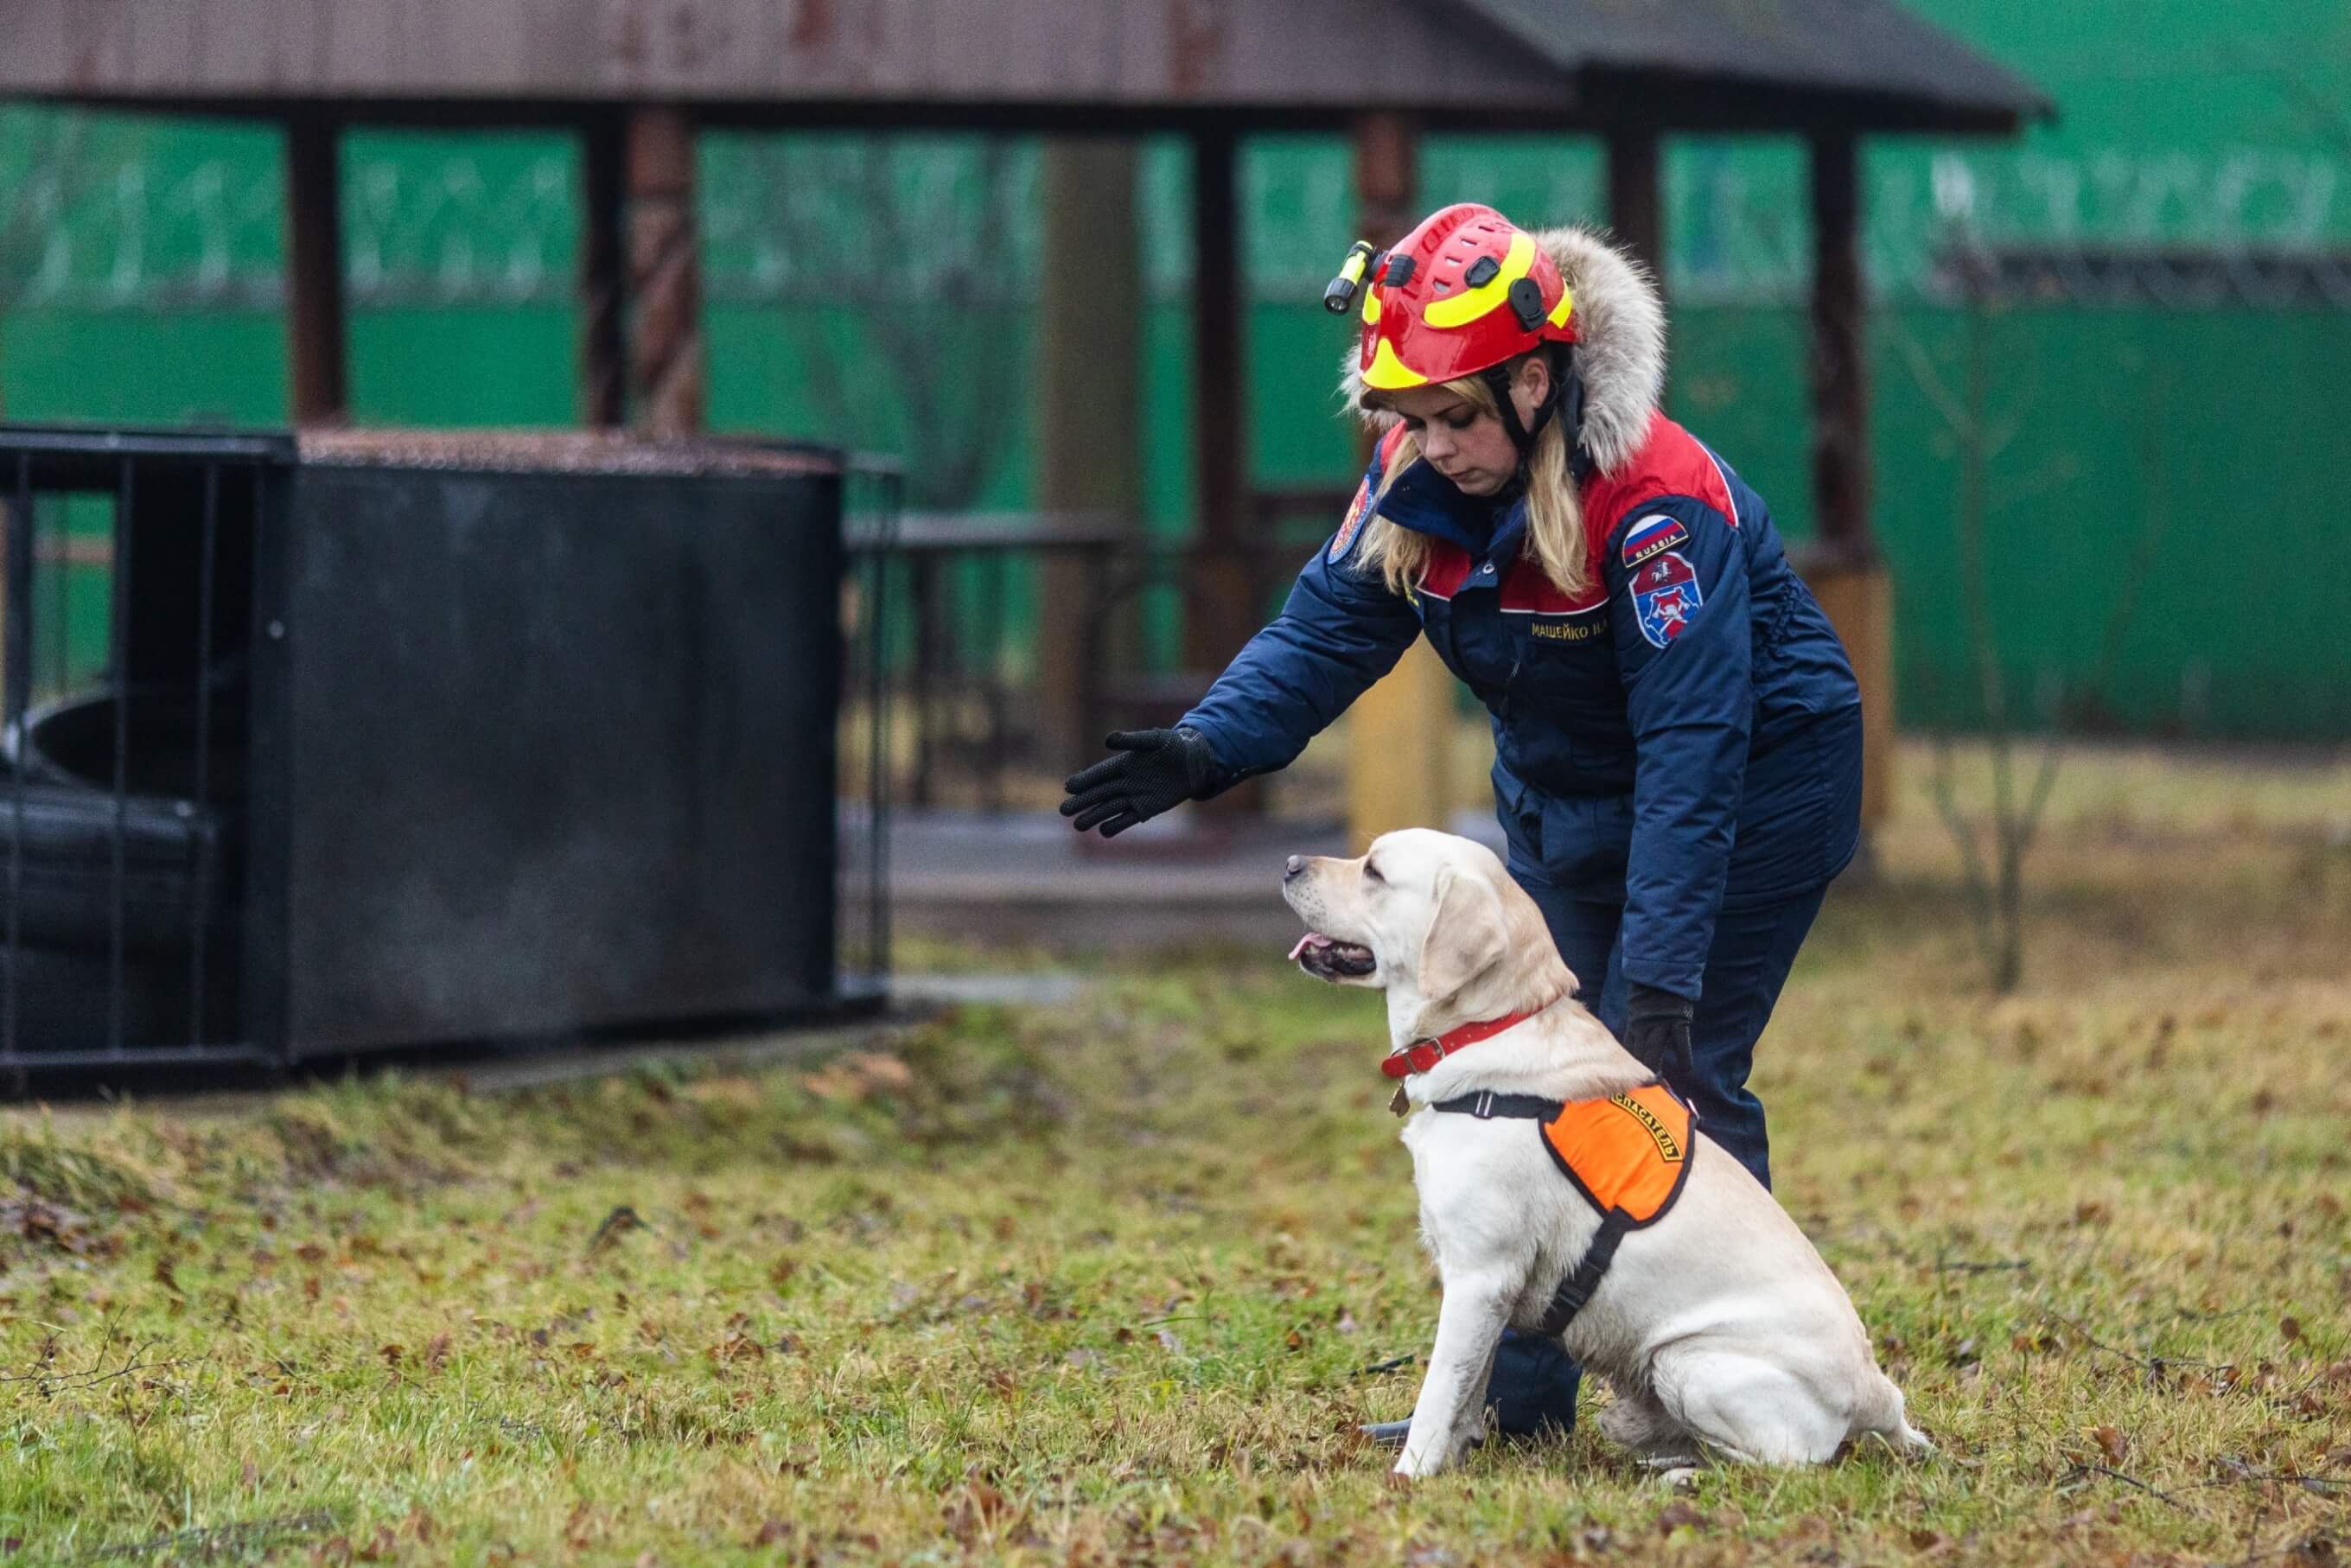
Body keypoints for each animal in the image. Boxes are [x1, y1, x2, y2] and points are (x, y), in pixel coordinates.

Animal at [1288, 827, 1927, 1476]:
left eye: (1374, 872)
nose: (1290, 864)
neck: (1489, 1028)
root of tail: (1879, 1394)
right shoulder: (1489, 1289)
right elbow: (1468, 1392)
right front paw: (1458, 1458)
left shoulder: (1480, 1276)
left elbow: (1439, 1391)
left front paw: (1411, 1478)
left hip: (1686, 1362)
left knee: (1781, 1464)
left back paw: (1681, 1475)